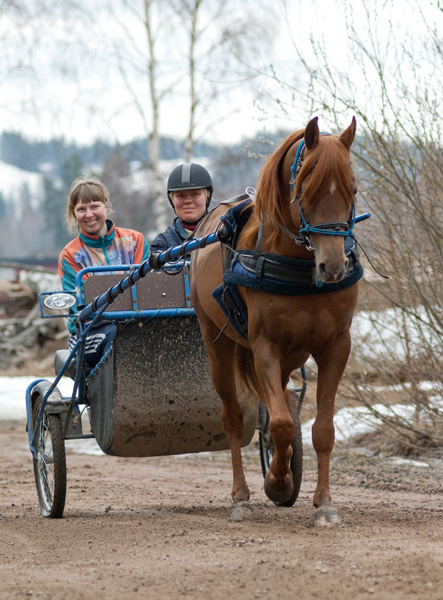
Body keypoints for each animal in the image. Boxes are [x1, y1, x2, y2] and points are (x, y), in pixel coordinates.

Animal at [191, 118, 360, 524]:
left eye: (353, 188)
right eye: (305, 188)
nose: (333, 267)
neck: (298, 267)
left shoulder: (336, 346)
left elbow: (321, 428)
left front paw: (324, 502)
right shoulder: (263, 346)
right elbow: (282, 423)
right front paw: (277, 482)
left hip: (292, 355)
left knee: (279, 401)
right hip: (217, 345)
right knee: (234, 418)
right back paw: (241, 496)